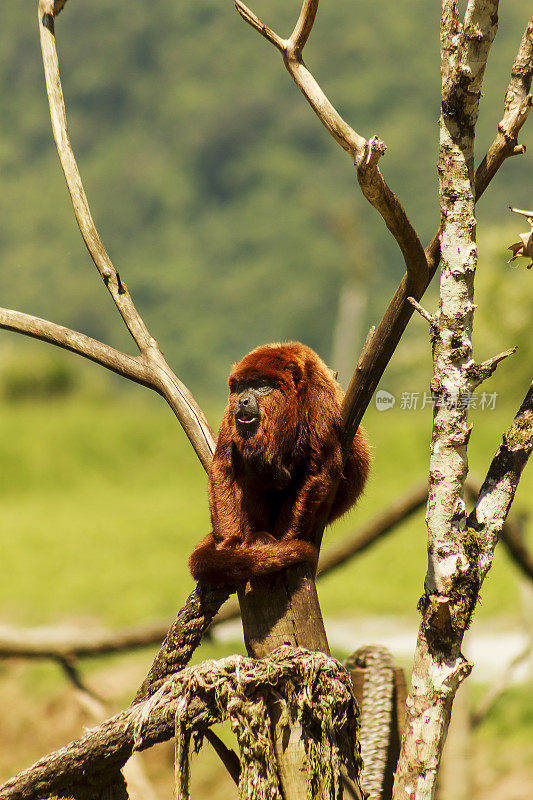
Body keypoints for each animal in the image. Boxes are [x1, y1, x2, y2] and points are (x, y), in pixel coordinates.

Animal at [188, 340, 370, 584]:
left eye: (261, 385)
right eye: (241, 387)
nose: (243, 400)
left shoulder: (320, 398)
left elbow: (319, 469)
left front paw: (284, 543)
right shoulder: (230, 412)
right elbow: (223, 467)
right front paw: (228, 544)